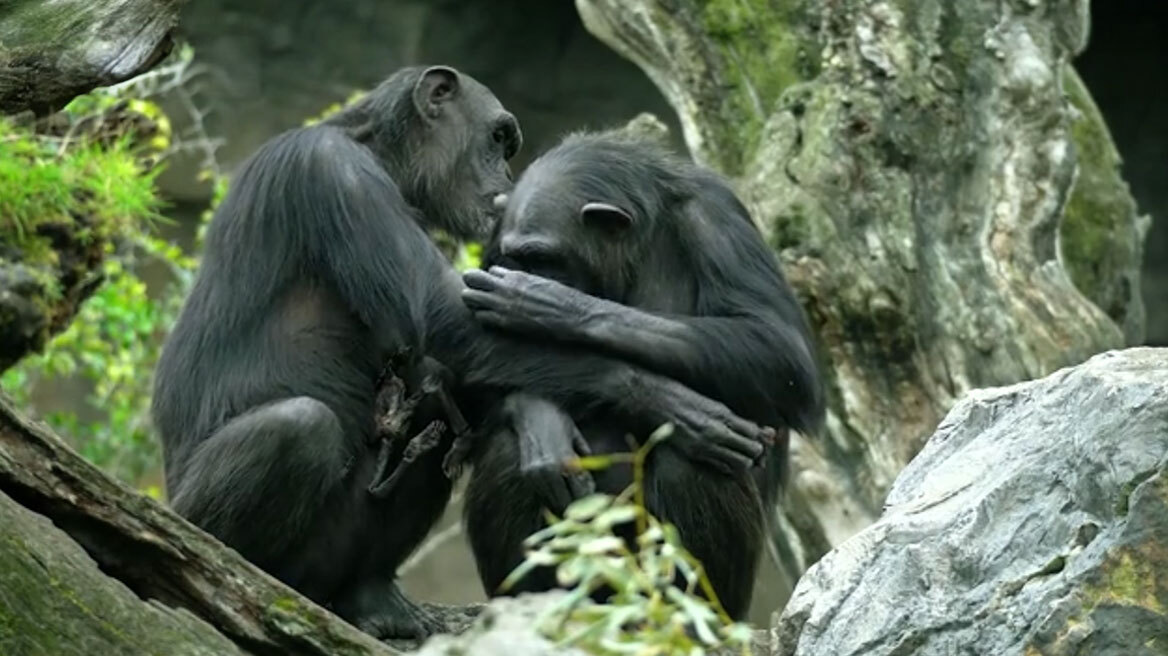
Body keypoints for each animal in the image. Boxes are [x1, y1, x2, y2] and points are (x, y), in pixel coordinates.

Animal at [155, 67, 775, 639]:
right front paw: (667, 401)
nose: (507, 175)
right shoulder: (332, 172)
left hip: (328, 562)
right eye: (497, 138)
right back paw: (240, 574)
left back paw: (372, 600)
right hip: (196, 513)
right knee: (296, 428)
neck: (380, 155)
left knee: (432, 406)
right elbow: (443, 314)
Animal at [455, 128, 822, 616]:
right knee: (505, 448)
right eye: (518, 255)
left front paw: (545, 305)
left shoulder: (717, 218)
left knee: (697, 457)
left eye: (542, 257)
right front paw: (545, 426)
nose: (524, 274)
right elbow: (467, 373)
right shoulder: (495, 242)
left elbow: (778, 347)